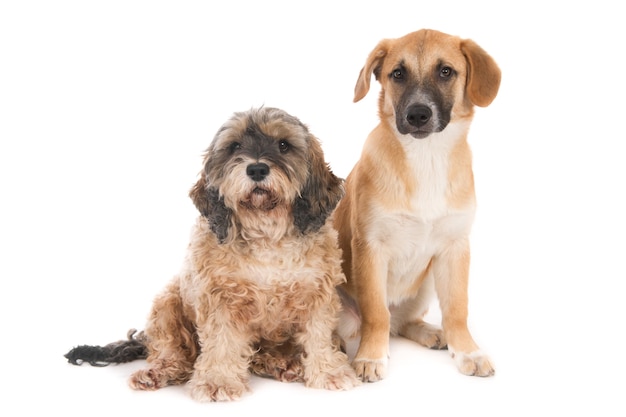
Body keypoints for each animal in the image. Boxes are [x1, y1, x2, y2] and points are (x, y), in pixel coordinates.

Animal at [66, 107, 358, 400]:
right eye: (235, 146)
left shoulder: (317, 294)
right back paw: (159, 372)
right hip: (167, 302)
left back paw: (281, 363)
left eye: (283, 145)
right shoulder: (220, 299)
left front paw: (328, 372)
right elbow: (222, 342)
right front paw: (219, 380)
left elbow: (319, 335)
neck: (266, 234)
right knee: (173, 353)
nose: (257, 169)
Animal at [334, 28, 500, 380]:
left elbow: (457, 309)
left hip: (427, 280)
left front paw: (468, 350)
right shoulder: (370, 246)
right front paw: (371, 356)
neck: (427, 158)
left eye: (446, 71)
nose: (418, 115)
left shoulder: (455, 247)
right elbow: (375, 312)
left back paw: (432, 332)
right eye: (398, 73)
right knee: (378, 321)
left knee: (402, 323)